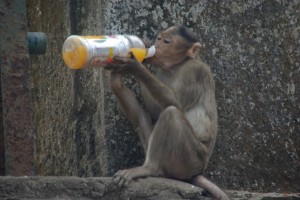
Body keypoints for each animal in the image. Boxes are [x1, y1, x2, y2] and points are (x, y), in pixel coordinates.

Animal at [105, 25, 230, 200]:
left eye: (167, 41)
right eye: (159, 38)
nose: (156, 44)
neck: (176, 65)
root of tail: (196, 173)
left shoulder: (195, 71)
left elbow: (174, 103)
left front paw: (135, 66)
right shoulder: (161, 72)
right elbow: (154, 110)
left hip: (190, 160)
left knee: (172, 114)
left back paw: (149, 168)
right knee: (142, 117)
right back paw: (116, 82)